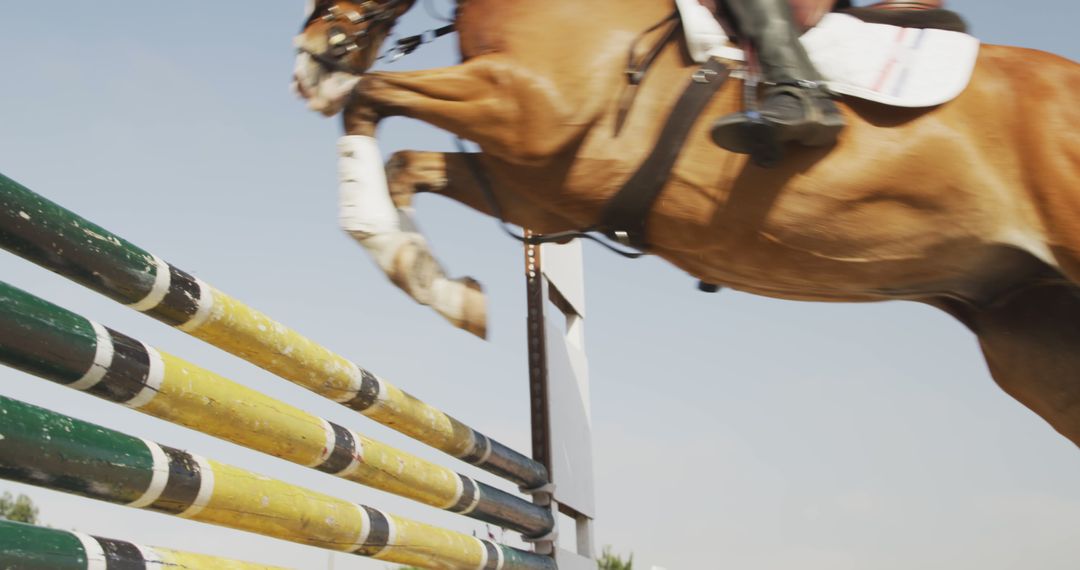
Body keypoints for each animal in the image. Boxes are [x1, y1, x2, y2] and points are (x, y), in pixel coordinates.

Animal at [291, 0, 1080, 444]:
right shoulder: (534, 189)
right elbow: (402, 159)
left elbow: (369, 95)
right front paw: (437, 285)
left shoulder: (523, 108)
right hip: (1032, 337)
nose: (308, 59)